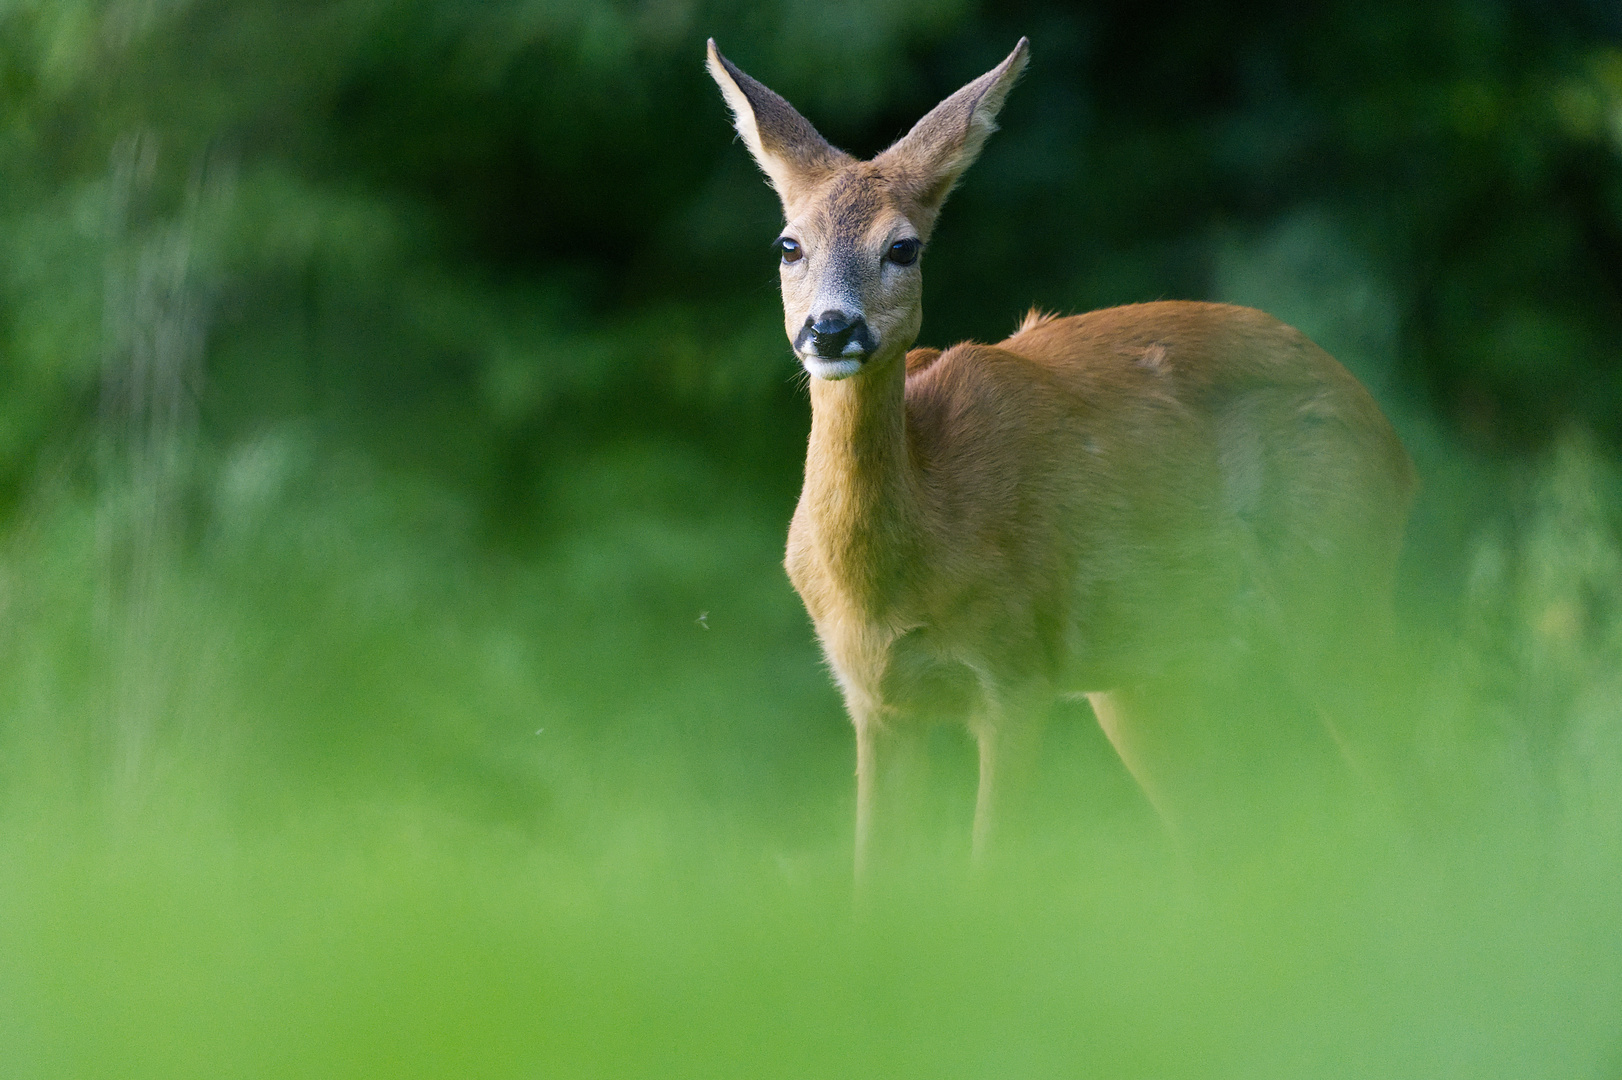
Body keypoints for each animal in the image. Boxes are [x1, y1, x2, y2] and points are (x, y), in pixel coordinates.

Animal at [703, 37, 1414, 869]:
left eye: (902, 247)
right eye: (789, 244)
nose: (831, 328)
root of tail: (1391, 441)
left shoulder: (1017, 672)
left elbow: (991, 869)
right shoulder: (875, 700)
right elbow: (871, 876)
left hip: (1338, 587)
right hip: (1151, 676)